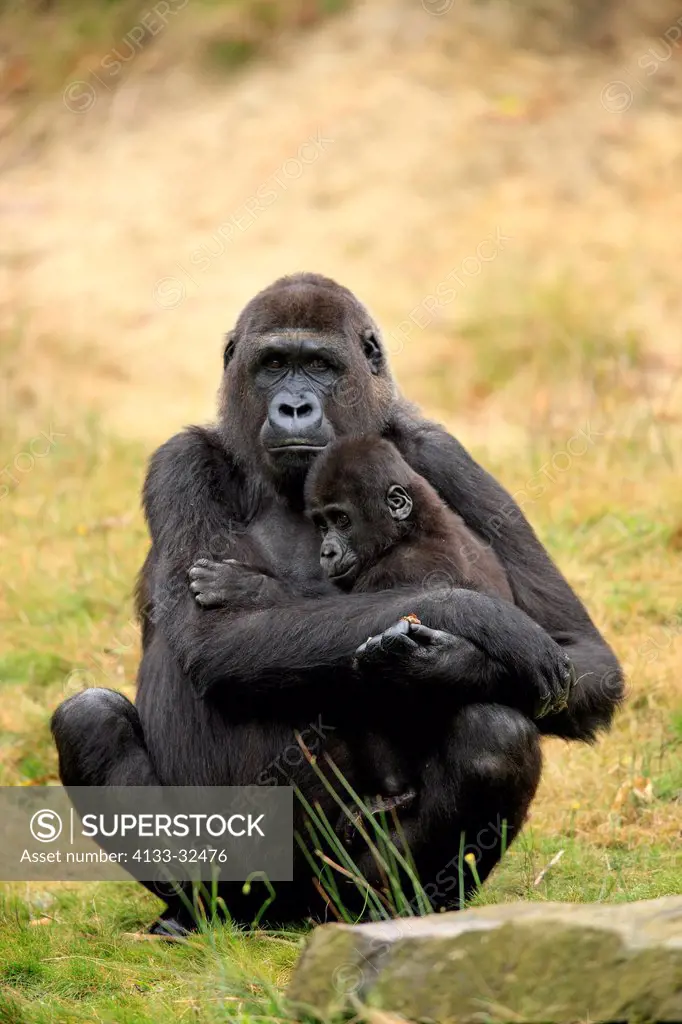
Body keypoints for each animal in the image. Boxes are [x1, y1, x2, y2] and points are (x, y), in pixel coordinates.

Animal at [303, 440, 509, 823]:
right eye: (321, 524)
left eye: (342, 520)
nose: (326, 551)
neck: (415, 525)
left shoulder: (396, 573)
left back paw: (394, 790)